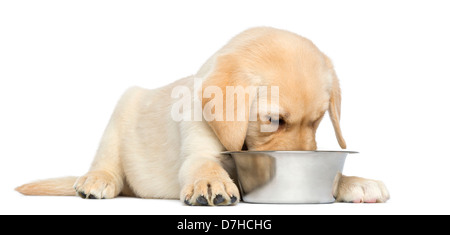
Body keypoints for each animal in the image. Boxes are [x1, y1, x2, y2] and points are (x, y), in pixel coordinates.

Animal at [15, 26, 388, 205]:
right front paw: (211, 182)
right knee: (107, 160)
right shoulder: (197, 148)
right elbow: (202, 165)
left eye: (318, 120)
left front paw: (353, 181)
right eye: (272, 121)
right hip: (123, 109)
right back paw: (96, 179)